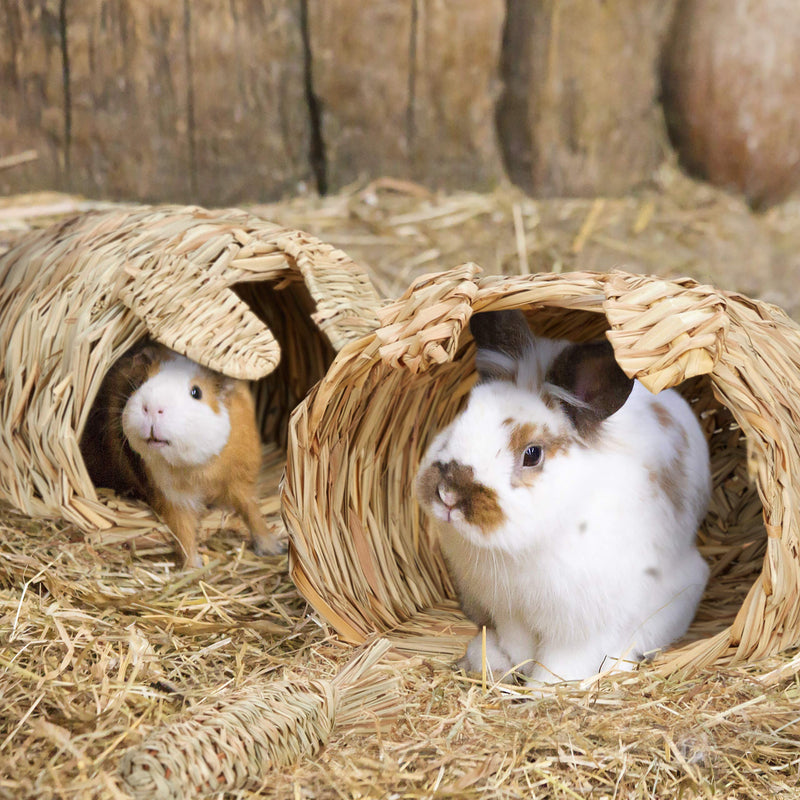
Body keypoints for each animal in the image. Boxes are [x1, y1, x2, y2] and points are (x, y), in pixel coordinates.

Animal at [416, 310, 708, 684]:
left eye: (532, 454)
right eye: (463, 416)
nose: (448, 495)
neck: (524, 548)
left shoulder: (583, 628)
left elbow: (563, 664)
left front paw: (541, 690)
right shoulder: (510, 609)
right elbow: (520, 645)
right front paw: (514, 664)